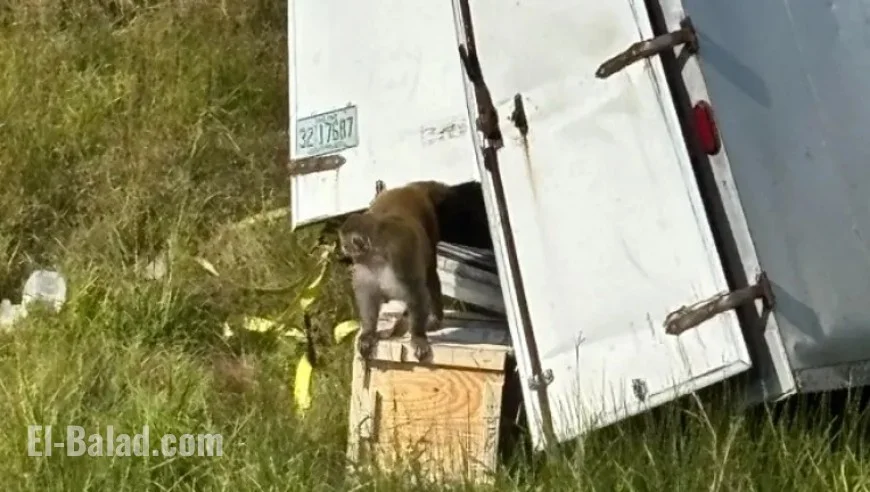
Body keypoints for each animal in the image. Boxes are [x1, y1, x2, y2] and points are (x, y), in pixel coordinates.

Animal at [338, 180, 452, 362]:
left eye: (346, 244)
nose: (343, 249)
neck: (377, 256)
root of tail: (408, 188)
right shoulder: (364, 267)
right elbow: (368, 296)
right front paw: (368, 333)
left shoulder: (400, 257)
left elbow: (416, 292)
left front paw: (418, 336)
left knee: (430, 274)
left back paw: (434, 318)